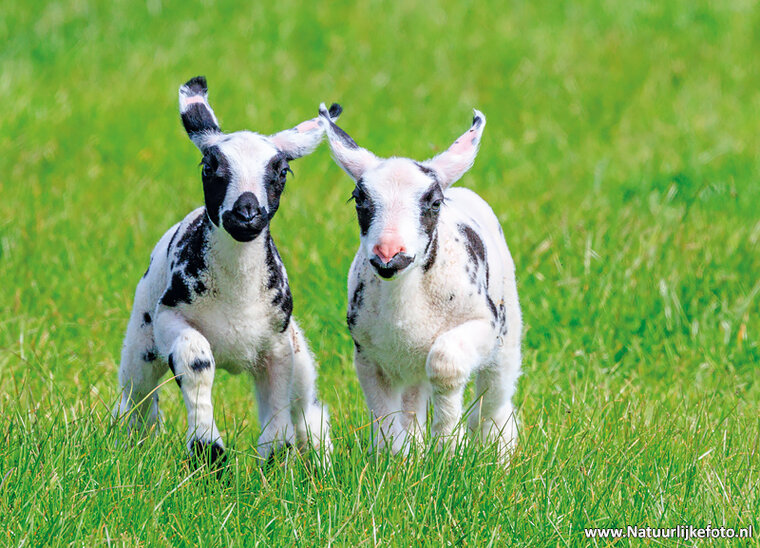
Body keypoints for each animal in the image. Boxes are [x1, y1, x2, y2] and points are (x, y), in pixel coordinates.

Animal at [114, 76, 339, 466]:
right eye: (209, 167)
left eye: (282, 172)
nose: (246, 214)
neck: (237, 293)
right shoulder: (170, 316)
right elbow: (196, 361)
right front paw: (208, 451)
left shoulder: (277, 346)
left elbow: (278, 405)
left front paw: (275, 460)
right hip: (142, 341)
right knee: (138, 402)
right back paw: (132, 450)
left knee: (306, 412)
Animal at [319, 105, 522, 461]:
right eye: (358, 199)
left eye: (434, 203)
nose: (389, 253)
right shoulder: (368, 354)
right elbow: (384, 408)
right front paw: (395, 458)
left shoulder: (484, 324)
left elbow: (446, 364)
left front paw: (448, 448)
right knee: (413, 400)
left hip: (506, 332)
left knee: (494, 398)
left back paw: (497, 451)